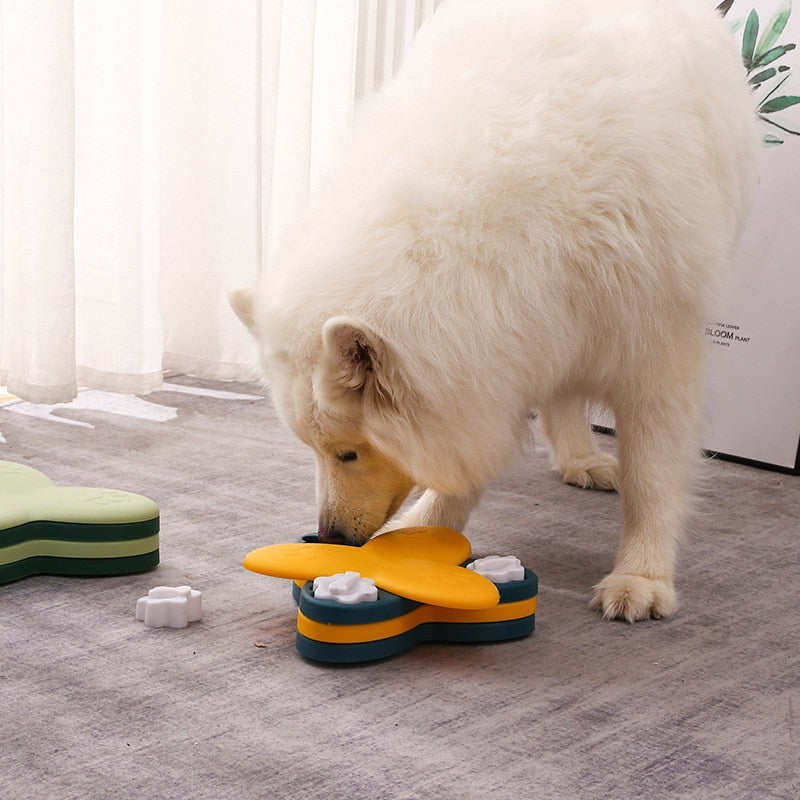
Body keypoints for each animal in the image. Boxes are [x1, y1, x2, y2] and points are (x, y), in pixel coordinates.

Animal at [231, 0, 756, 620]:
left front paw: (642, 577)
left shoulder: (652, 345)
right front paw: (425, 538)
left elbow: (652, 475)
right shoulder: (502, 352)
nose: (330, 538)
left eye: (349, 454)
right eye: (315, 451)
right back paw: (579, 456)